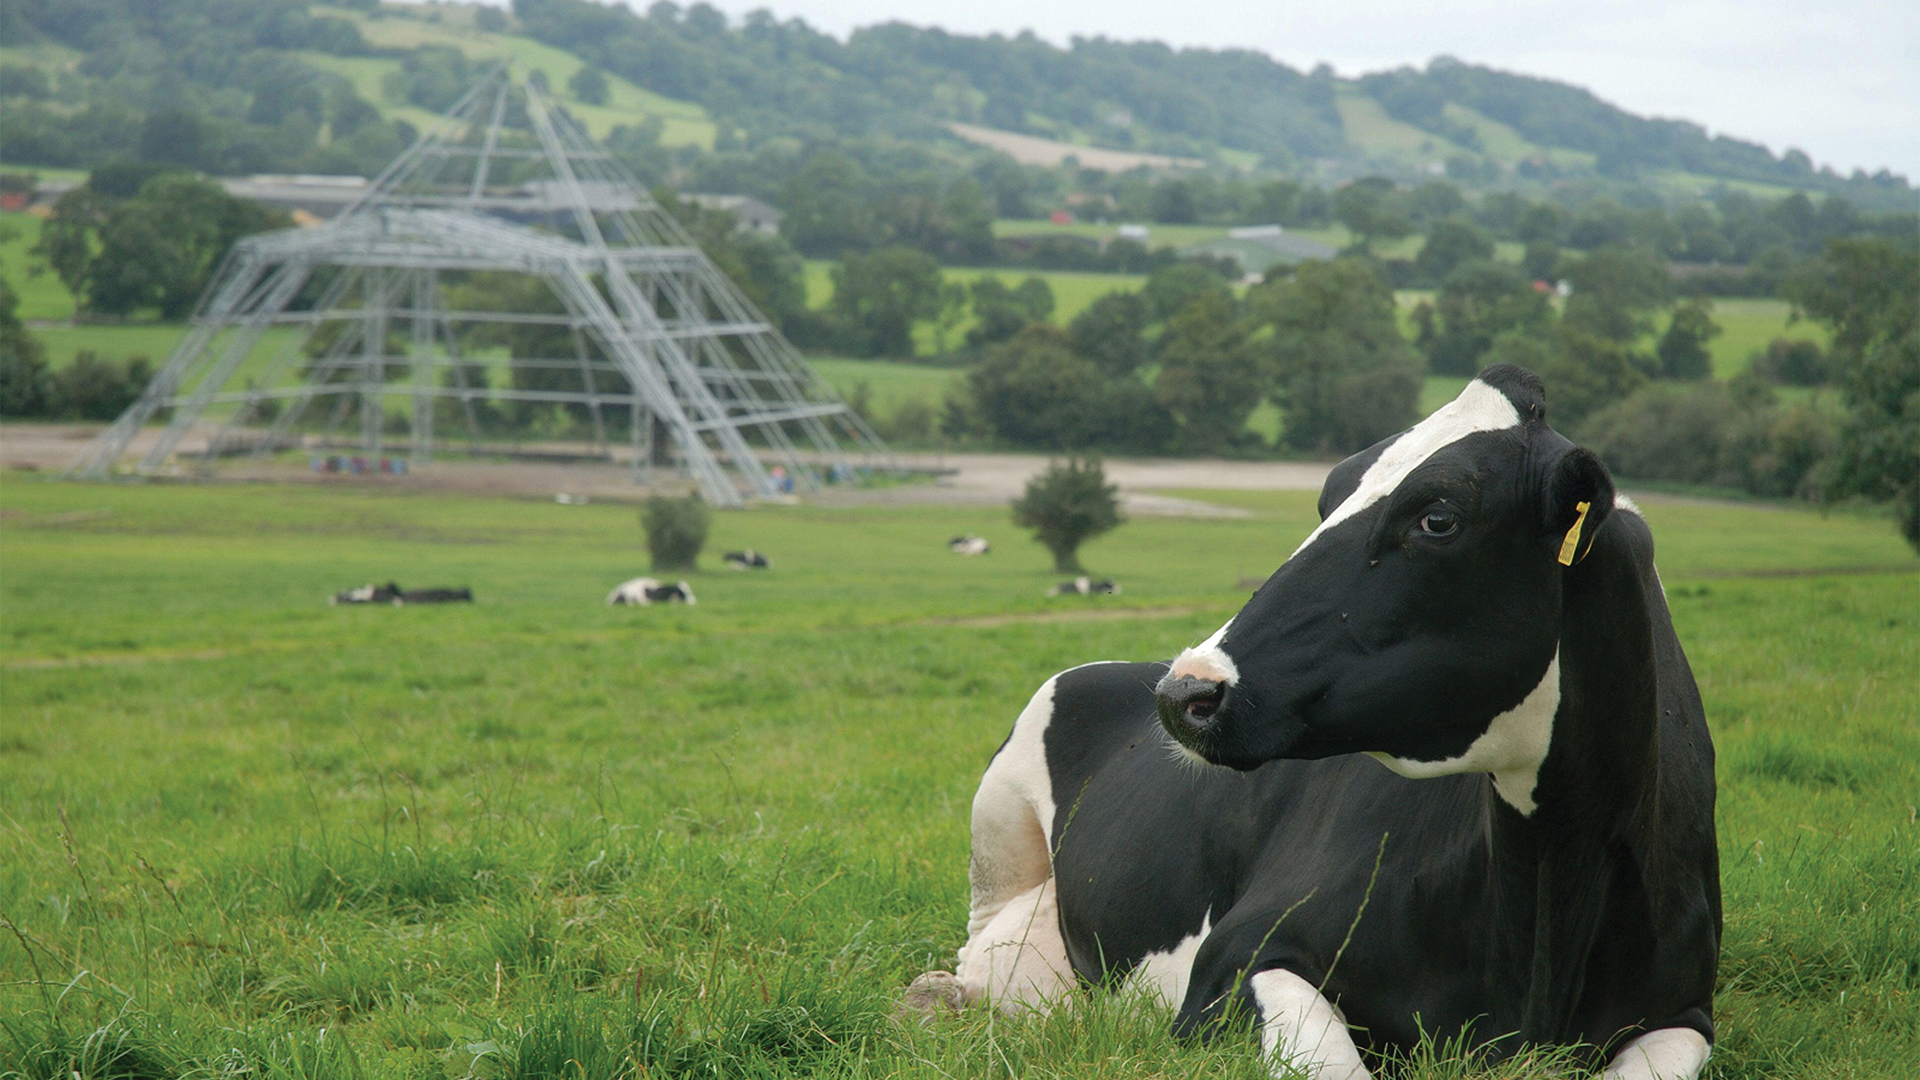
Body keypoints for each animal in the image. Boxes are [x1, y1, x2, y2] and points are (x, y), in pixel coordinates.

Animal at [906, 366, 1720, 1080]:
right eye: (1329, 496)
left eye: (1438, 517)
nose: (1187, 691)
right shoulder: (1238, 957)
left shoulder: (1683, 1012)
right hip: (998, 829)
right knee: (990, 943)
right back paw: (942, 999)